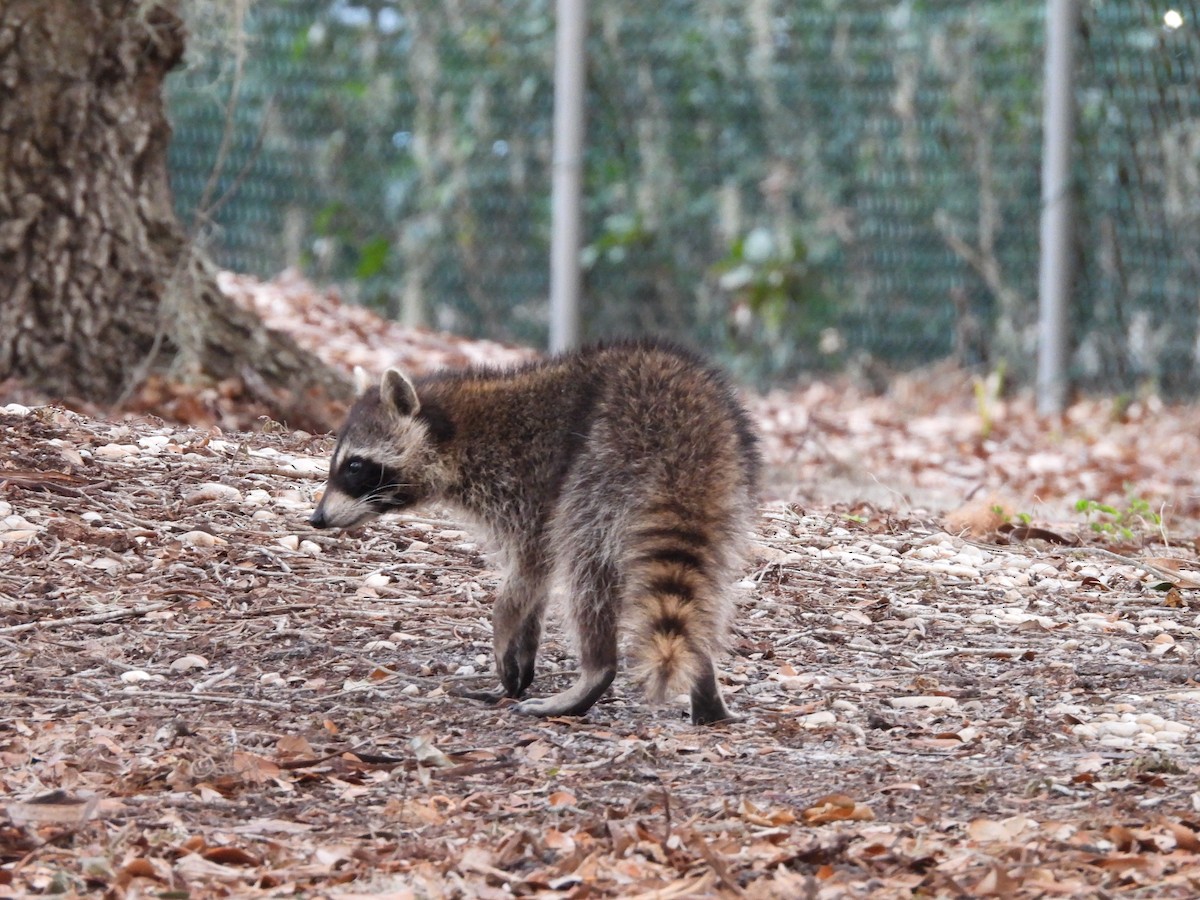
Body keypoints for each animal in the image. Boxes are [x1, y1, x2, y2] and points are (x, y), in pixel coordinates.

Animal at [309, 340, 759, 724]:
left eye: (355, 466)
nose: (317, 518)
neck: (456, 430)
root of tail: (685, 423)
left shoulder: (526, 485)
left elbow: (529, 571)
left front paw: (503, 625)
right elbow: (534, 587)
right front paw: (523, 647)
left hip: (603, 466)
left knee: (587, 569)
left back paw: (597, 671)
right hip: (724, 493)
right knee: (701, 591)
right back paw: (705, 686)